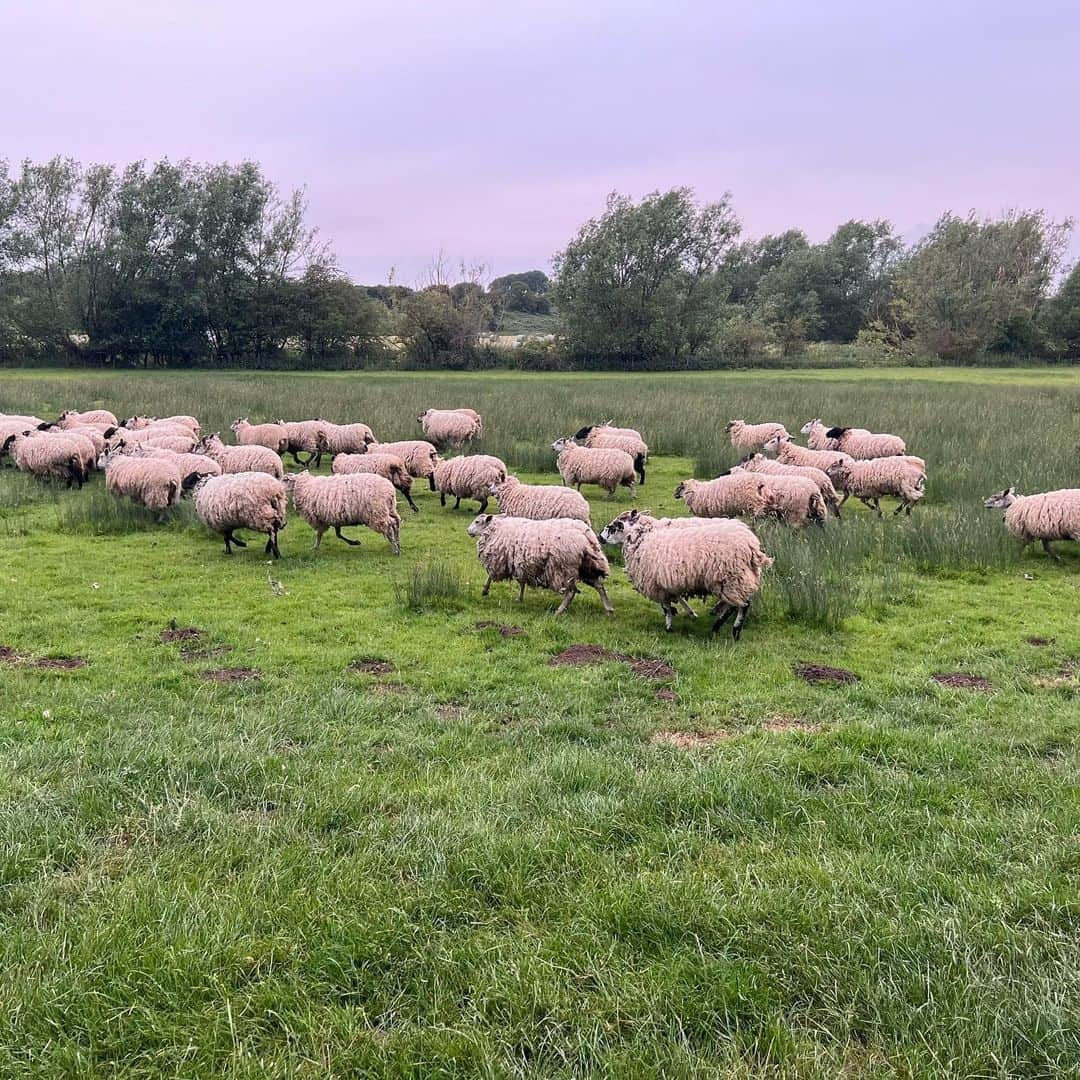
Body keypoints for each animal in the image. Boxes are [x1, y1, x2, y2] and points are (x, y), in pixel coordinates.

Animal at [466, 509, 613, 613]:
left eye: (477, 522)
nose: (468, 531)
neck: (496, 528)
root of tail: (586, 536)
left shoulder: (500, 561)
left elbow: (490, 576)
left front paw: (485, 590)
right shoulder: (520, 563)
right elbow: (522, 583)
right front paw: (520, 598)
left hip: (563, 567)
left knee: (571, 592)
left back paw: (559, 611)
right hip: (587, 565)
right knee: (599, 585)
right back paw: (609, 609)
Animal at [596, 509, 773, 635]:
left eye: (615, 526)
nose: (599, 537)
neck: (642, 537)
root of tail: (751, 545)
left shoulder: (657, 582)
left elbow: (666, 606)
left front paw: (669, 626)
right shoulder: (670, 579)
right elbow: (675, 598)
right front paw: (688, 613)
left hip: (731, 578)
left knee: (740, 604)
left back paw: (725, 627)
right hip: (742, 577)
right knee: (740, 602)